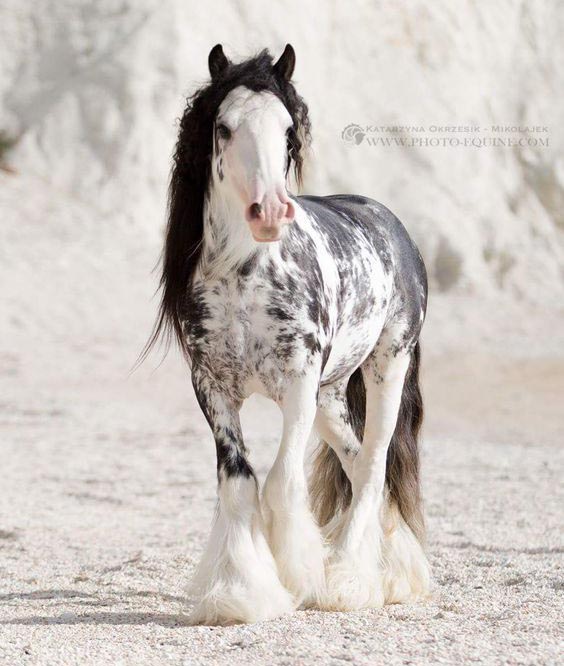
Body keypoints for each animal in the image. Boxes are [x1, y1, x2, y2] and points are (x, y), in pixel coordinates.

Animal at [146, 43, 431, 625]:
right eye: (224, 128)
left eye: (287, 131)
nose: (271, 211)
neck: (246, 275)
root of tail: (393, 227)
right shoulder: (212, 389)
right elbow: (239, 483)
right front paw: (241, 595)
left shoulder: (297, 385)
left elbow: (281, 482)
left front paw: (296, 576)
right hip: (330, 397)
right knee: (358, 464)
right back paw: (391, 573)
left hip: (387, 367)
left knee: (374, 466)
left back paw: (348, 583)